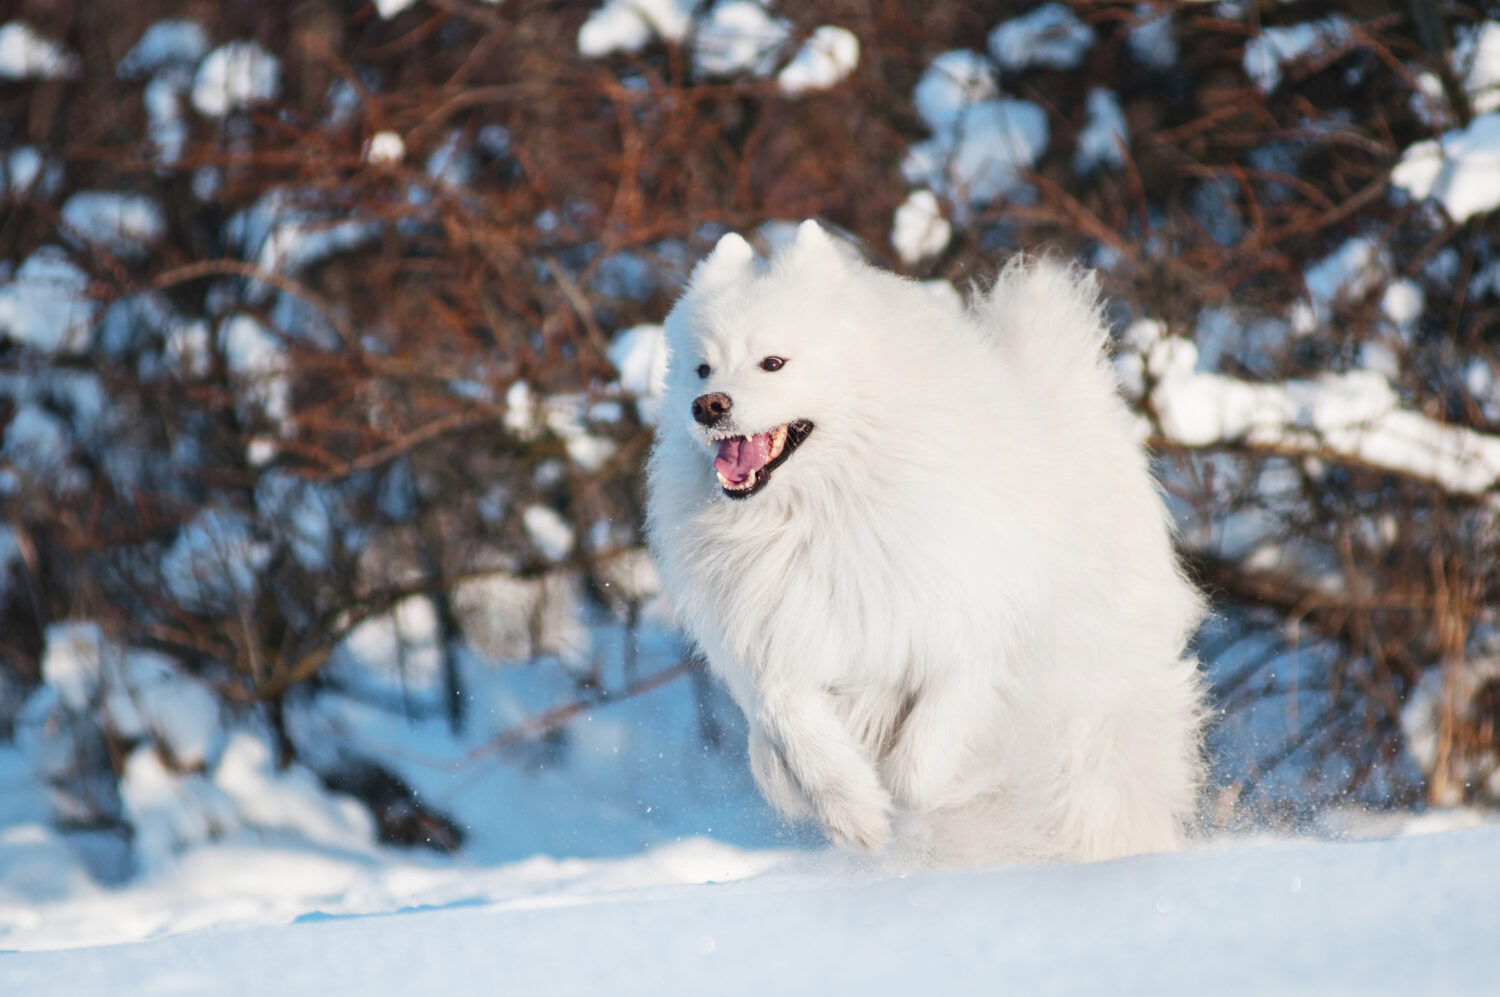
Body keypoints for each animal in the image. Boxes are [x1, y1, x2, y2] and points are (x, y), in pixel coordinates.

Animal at [645, 221, 1206, 857]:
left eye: (773, 363)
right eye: (702, 369)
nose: (708, 406)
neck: (816, 513)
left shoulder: (967, 631)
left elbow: (920, 763)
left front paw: (916, 795)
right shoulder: (782, 643)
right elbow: (793, 726)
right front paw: (855, 812)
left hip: (1095, 717)